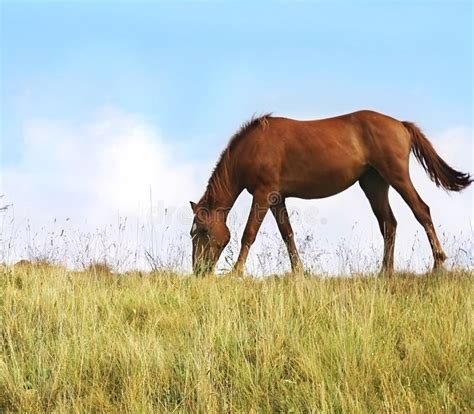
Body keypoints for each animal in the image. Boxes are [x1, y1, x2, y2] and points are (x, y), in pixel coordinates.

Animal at [188, 111, 470, 276]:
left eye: (201, 231)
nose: (198, 270)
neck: (253, 147)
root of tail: (401, 124)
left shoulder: (263, 194)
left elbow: (249, 233)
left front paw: (236, 272)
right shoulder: (277, 198)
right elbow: (287, 234)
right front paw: (299, 272)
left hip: (397, 176)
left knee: (421, 211)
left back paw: (438, 263)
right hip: (374, 184)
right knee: (388, 224)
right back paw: (385, 272)